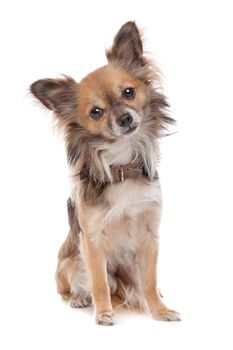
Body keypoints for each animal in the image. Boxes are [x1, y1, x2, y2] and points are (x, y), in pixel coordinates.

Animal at [30, 20, 180, 324]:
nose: (125, 118)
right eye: (96, 112)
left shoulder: (149, 234)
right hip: (70, 261)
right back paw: (79, 298)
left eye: (128, 92)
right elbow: (98, 279)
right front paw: (103, 313)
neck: (122, 164)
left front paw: (159, 310)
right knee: (74, 286)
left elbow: (149, 280)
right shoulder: (92, 239)